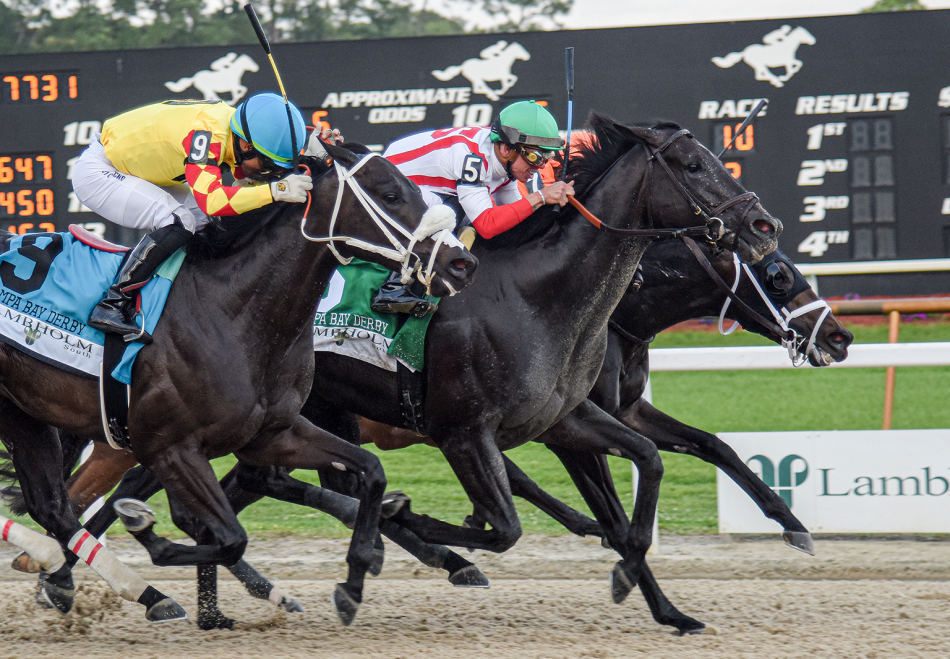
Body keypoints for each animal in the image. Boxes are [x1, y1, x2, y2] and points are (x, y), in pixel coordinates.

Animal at [0, 144, 476, 624]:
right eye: (391, 194)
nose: (463, 262)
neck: (230, 310)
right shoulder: (171, 448)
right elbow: (228, 537)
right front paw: (147, 531)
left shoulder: (273, 433)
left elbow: (371, 470)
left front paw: (354, 581)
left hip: (23, 414)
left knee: (53, 506)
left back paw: (117, 587)